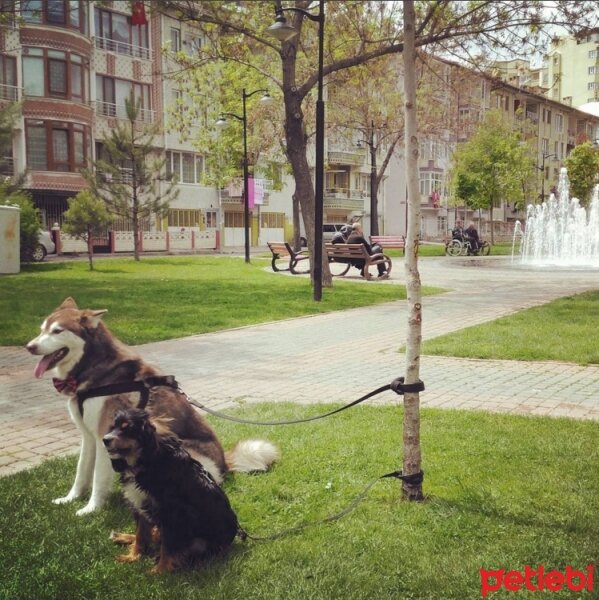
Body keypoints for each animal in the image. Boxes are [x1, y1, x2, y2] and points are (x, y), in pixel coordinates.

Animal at [27, 298, 280, 512]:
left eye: (57, 331)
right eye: (41, 329)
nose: (29, 347)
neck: (92, 367)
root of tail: (225, 464)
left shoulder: (103, 436)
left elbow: (98, 477)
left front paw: (91, 509)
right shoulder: (88, 436)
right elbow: (81, 472)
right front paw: (70, 499)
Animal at [104, 408, 240, 572]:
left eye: (127, 428)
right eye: (113, 428)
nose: (105, 440)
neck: (144, 463)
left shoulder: (171, 513)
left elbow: (168, 545)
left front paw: (159, 570)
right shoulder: (140, 505)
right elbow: (141, 534)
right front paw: (133, 556)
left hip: (201, 541)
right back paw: (121, 536)